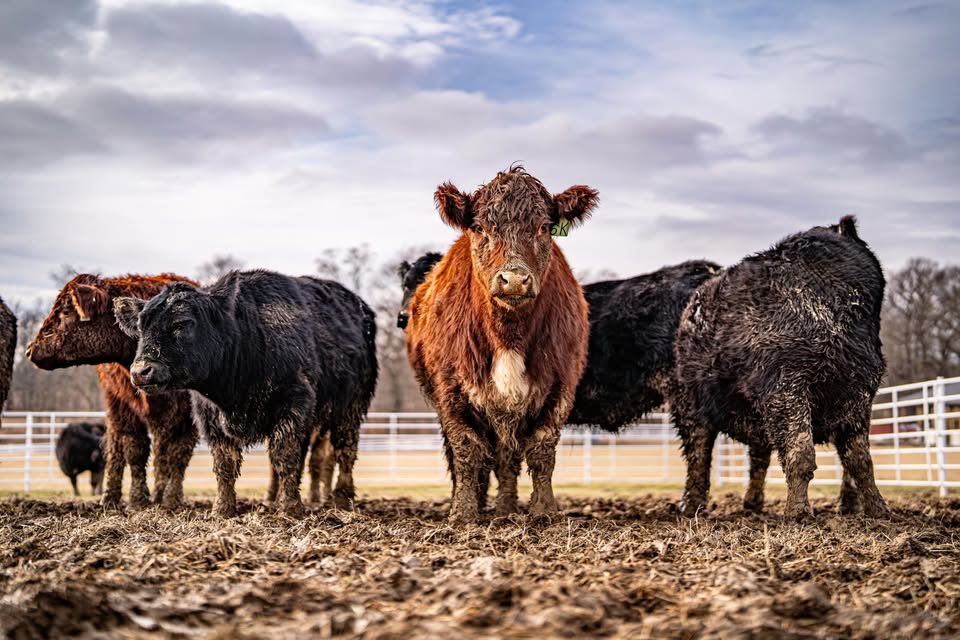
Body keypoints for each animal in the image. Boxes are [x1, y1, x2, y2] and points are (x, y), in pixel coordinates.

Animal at [26, 274, 198, 510]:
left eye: (66, 311)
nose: (30, 349)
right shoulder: (126, 408)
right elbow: (135, 451)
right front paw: (137, 500)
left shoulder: (185, 415)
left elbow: (177, 455)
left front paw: (170, 499)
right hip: (114, 409)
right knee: (116, 451)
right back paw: (110, 498)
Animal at [114, 269, 378, 518]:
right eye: (141, 327)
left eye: (182, 323)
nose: (141, 371)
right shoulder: (210, 417)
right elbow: (225, 463)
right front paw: (223, 509)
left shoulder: (294, 404)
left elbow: (284, 456)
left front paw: (291, 508)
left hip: (351, 408)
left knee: (345, 450)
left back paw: (342, 499)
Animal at [406, 166, 596, 524]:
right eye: (480, 227)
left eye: (544, 227)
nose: (515, 279)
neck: (508, 334)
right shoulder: (451, 389)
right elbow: (466, 450)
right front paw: (463, 514)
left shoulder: (560, 384)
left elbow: (541, 451)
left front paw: (544, 511)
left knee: (507, 458)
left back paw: (506, 509)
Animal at [671, 216, 890, 519]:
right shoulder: (784, 384)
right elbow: (801, 453)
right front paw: (798, 514)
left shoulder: (860, 390)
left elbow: (860, 461)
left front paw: (880, 511)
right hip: (689, 402)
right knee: (698, 452)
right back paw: (691, 508)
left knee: (758, 455)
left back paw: (754, 505)